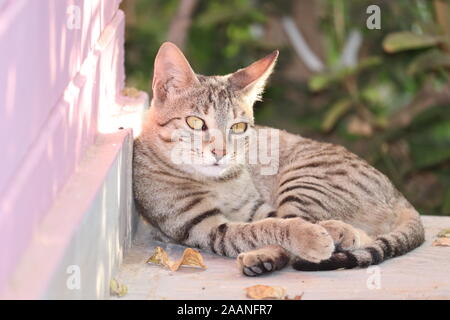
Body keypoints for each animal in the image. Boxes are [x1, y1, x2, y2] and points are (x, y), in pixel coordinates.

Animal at [134, 42, 426, 278]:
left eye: (238, 128)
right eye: (195, 123)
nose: (221, 152)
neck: (218, 183)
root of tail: (399, 196)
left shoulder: (255, 208)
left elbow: (277, 222)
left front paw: (335, 231)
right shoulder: (202, 226)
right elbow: (263, 228)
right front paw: (314, 235)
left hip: (304, 179)